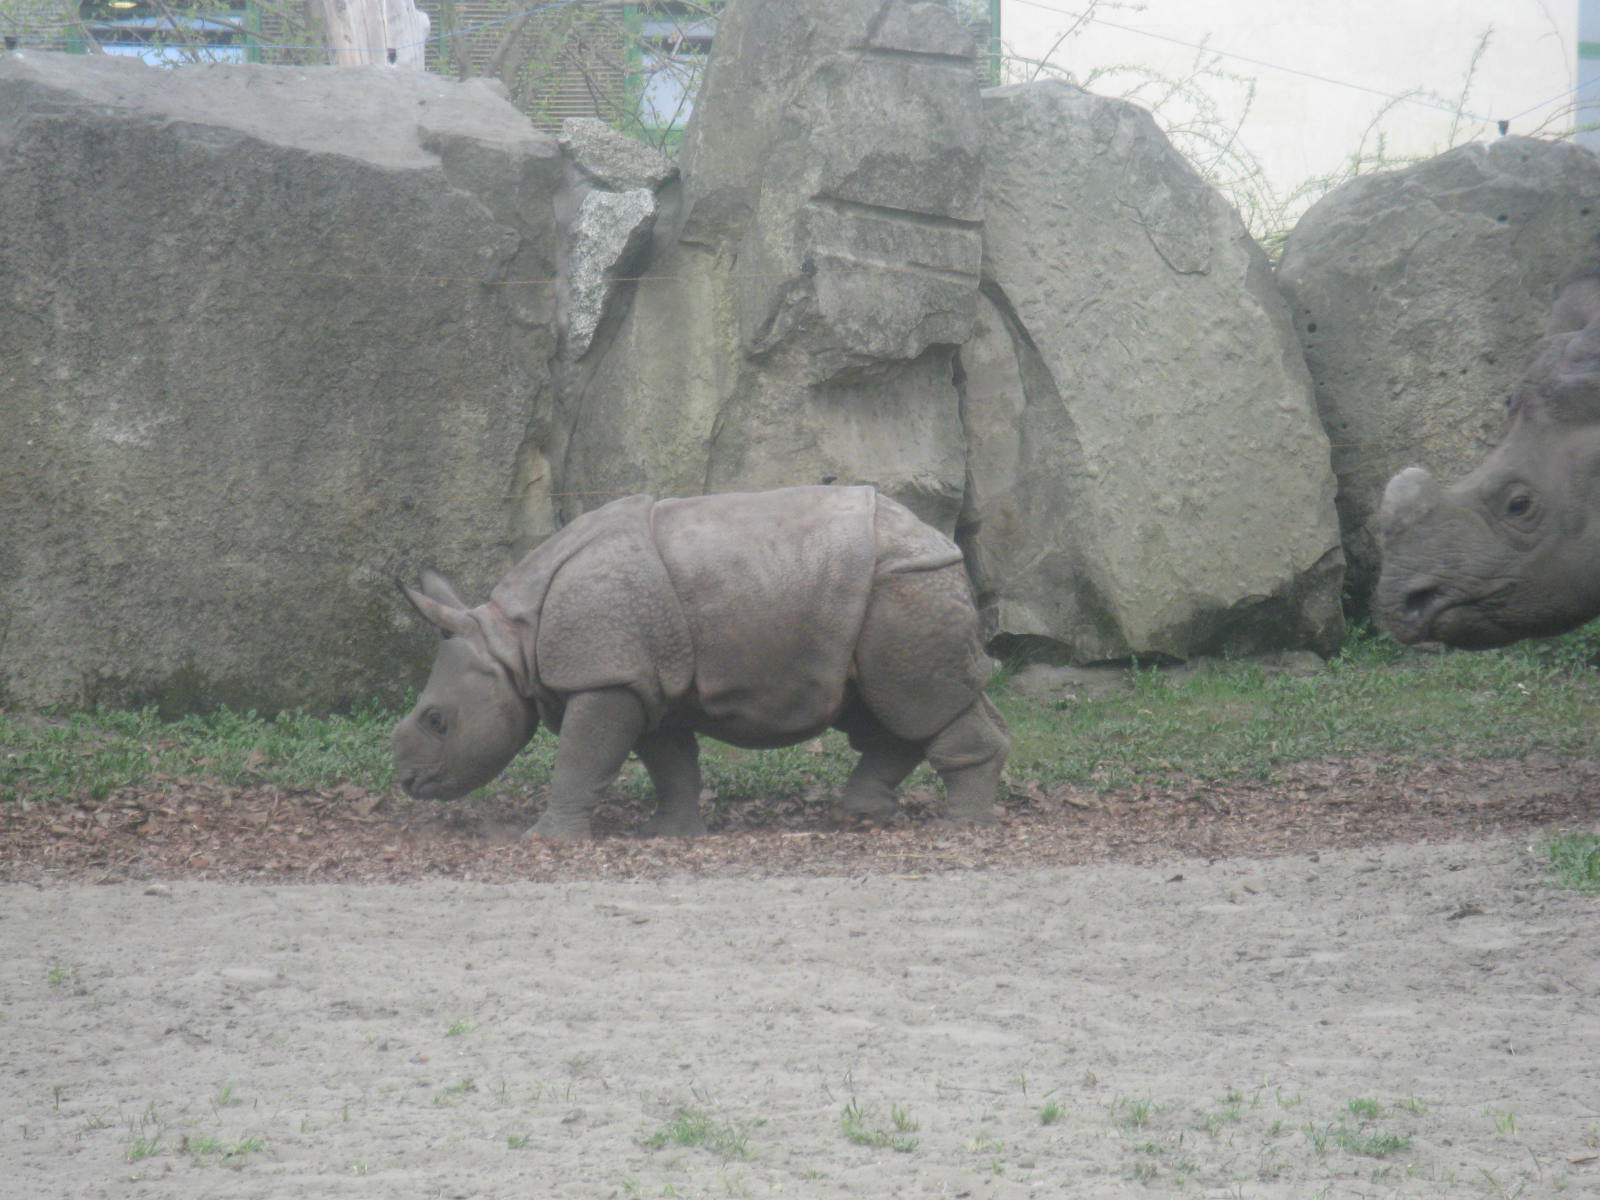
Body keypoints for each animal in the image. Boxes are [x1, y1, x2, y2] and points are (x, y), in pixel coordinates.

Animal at [392, 485, 1009, 839]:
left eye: (436, 720)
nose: (407, 782)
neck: (510, 642)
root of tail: (939, 539)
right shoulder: (643, 680)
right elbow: (669, 761)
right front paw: (667, 833)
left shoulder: (607, 676)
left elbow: (580, 757)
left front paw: (546, 840)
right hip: (879, 593)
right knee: (883, 704)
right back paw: (860, 816)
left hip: (903, 585)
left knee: (916, 700)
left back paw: (961, 827)